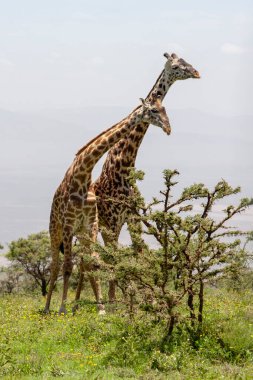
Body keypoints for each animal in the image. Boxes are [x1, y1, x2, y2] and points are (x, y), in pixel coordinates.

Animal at [44, 92, 170, 314]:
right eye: (154, 110)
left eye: (164, 109)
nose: (168, 128)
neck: (83, 174)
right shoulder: (68, 224)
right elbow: (67, 267)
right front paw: (62, 309)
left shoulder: (91, 224)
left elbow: (94, 263)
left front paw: (102, 308)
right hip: (55, 229)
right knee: (56, 265)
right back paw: (48, 307)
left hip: (82, 233)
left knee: (84, 263)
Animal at [75, 52, 200, 302]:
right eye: (176, 65)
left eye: (186, 60)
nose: (197, 72)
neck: (122, 168)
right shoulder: (112, 221)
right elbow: (115, 260)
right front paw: (116, 301)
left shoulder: (133, 218)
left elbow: (140, 254)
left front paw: (148, 298)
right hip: (95, 227)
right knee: (91, 257)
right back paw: (90, 299)